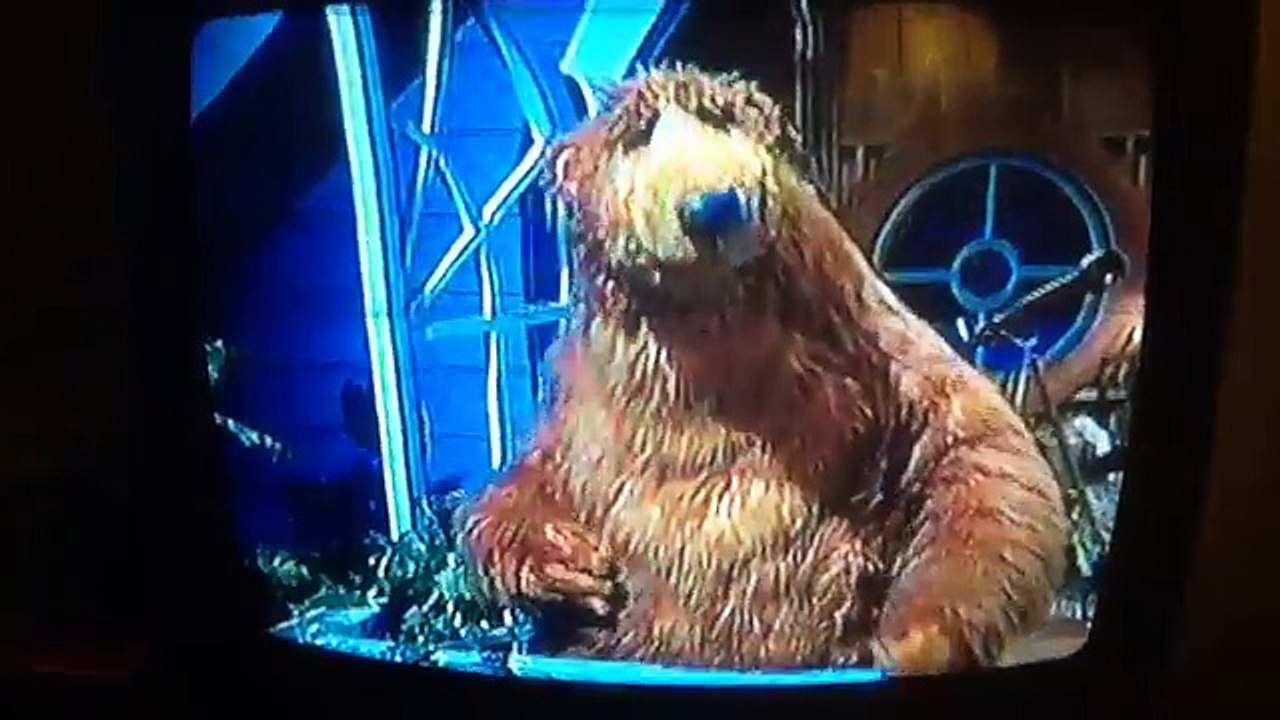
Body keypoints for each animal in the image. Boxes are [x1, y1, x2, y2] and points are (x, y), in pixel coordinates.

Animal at [456, 66, 1069, 674]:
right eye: (639, 132)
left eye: (725, 118)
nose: (714, 205)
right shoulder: (586, 402)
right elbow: (530, 480)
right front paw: (574, 566)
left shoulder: (876, 345)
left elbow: (985, 455)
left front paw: (912, 642)